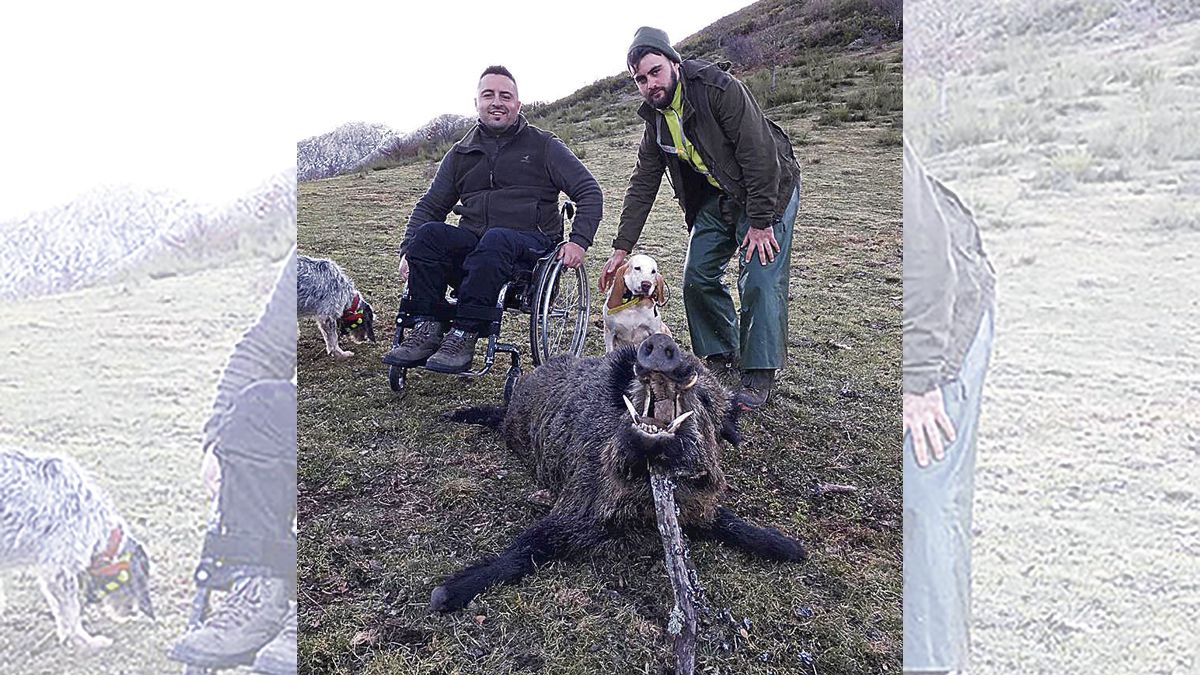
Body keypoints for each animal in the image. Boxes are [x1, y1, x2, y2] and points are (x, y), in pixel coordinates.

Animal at [0, 446, 154, 648]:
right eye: (135, 577)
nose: (134, 612)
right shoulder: (60, 571)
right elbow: (72, 612)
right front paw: (86, 641)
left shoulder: (51, 573)